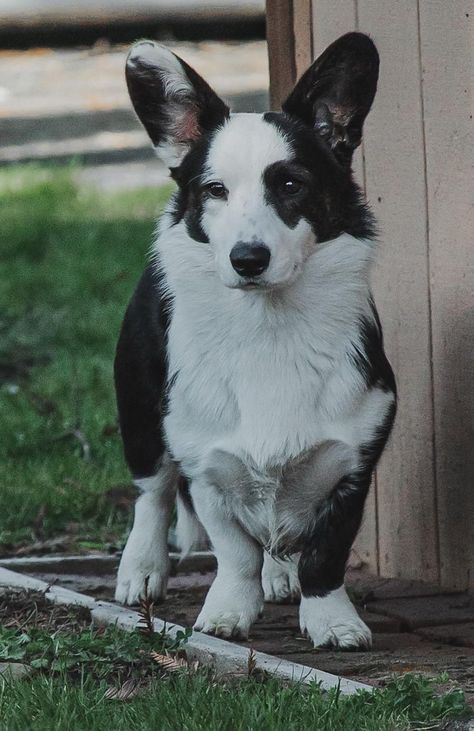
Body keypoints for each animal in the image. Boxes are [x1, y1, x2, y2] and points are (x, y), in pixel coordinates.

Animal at [114, 33, 396, 652]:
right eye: (214, 190)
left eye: (291, 184)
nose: (248, 259)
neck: (269, 326)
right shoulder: (205, 463)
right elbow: (233, 552)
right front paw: (225, 616)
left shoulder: (352, 465)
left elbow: (324, 555)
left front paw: (332, 621)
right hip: (140, 412)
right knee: (153, 493)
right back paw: (140, 570)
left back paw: (281, 575)